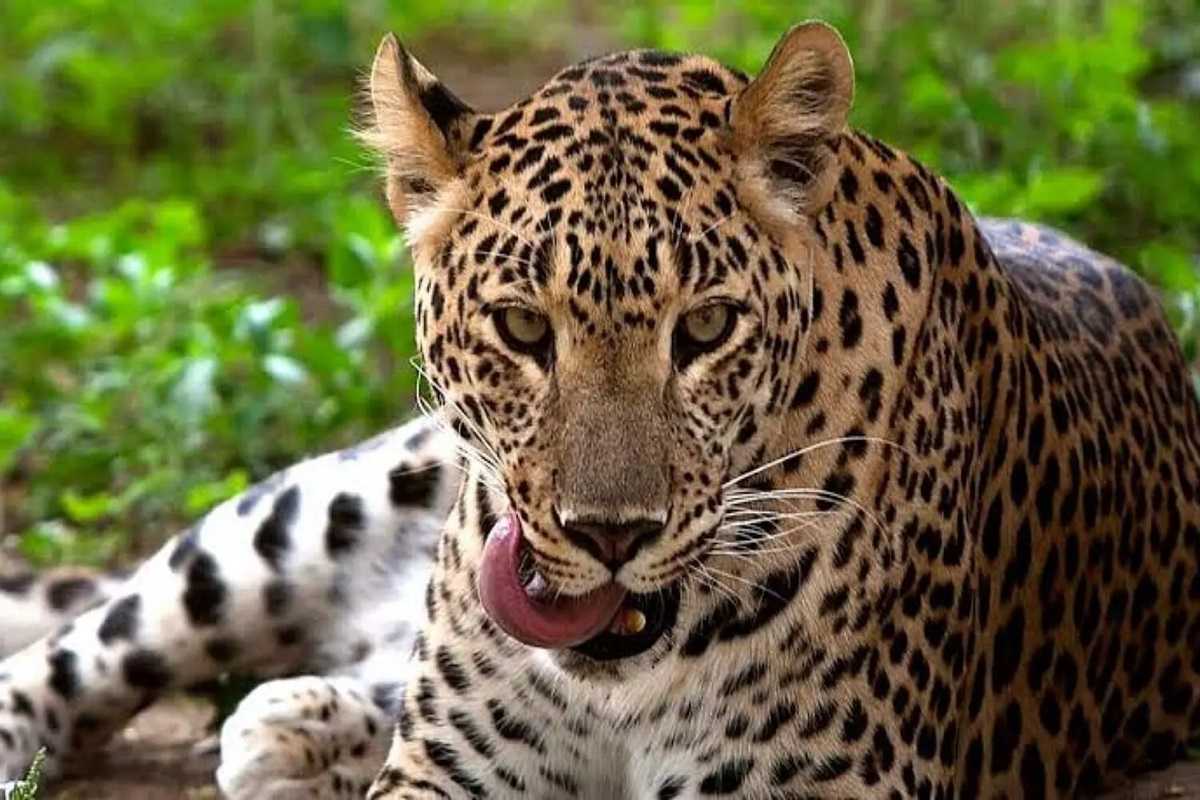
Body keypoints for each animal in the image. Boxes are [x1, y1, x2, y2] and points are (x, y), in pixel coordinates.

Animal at [0, 19, 1196, 800]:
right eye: (523, 328)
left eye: (705, 328)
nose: (610, 535)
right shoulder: (444, 776)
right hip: (302, 516)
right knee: (80, 649)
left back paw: (287, 730)